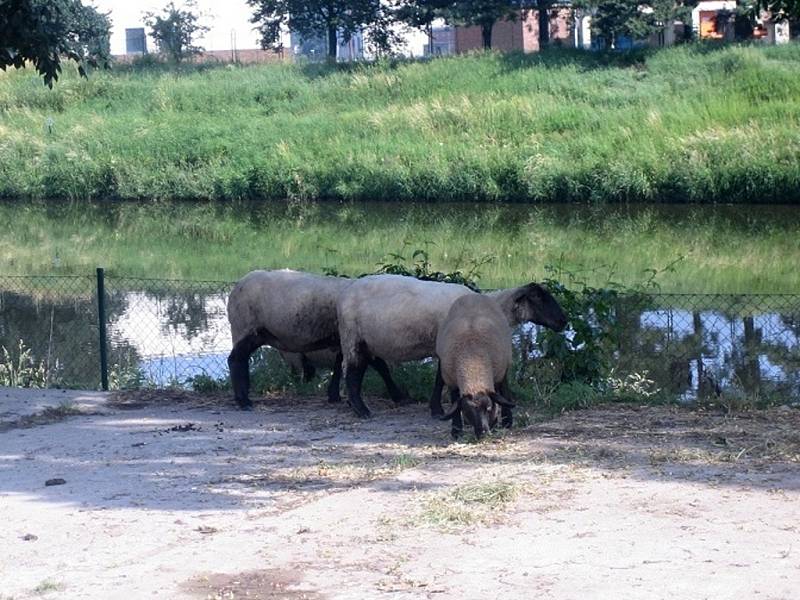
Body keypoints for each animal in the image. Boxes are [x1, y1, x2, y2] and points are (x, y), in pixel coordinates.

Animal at [227, 270, 406, 410]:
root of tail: (236, 286)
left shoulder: (342, 340)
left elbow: (339, 365)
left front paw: (333, 395)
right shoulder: (356, 338)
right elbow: (381, 366)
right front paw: (400, 396)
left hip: (259, 333)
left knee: (240, 359)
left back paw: (243, 397)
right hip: (245, 327)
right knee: (235, 360)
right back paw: (244, 401)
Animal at [334, 274, 564, 420]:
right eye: (538, 298)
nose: (564, 321)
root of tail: (345, 293)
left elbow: (439, 378)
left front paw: (435, 408)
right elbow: (441, 379)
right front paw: (437, 410)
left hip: (365, 341)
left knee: (363, 369)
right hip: (352, 337)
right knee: (351, 372)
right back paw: (361, 411)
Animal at [434, 292, 516, 438]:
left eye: (488, 408)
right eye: (468, 411)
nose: (483, 433)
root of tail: (472, 294)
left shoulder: (498, 374)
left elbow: (499, 397)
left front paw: (500, 423)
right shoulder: (452, 381)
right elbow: (455, 404)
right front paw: (456, 430)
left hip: (503, 368)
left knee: (503, 390)